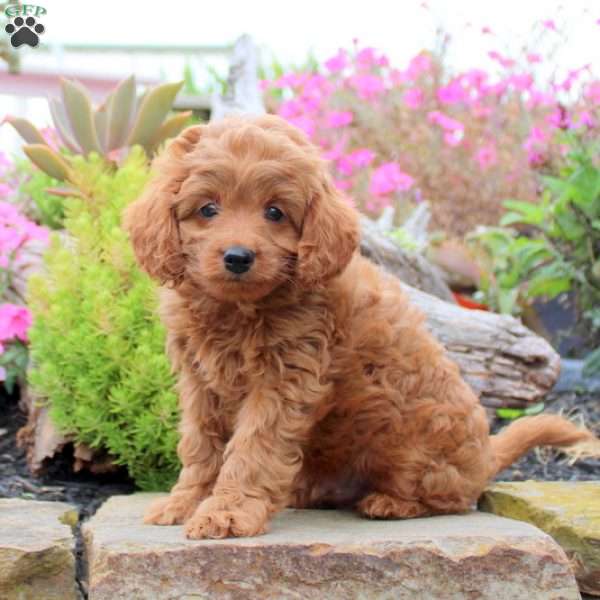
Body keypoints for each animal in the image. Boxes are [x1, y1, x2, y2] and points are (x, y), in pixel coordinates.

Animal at [124, 116, 596, 540]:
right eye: (208, 209)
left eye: (275, 212)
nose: (238, 257)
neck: (238, 308)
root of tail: (486, 456)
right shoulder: (200, 380)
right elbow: (200, 445)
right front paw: (186, 502)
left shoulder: (283, 380)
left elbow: (252, 449)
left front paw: (227, 513)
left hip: (416, 449)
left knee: (451, 496)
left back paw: (389, 503)